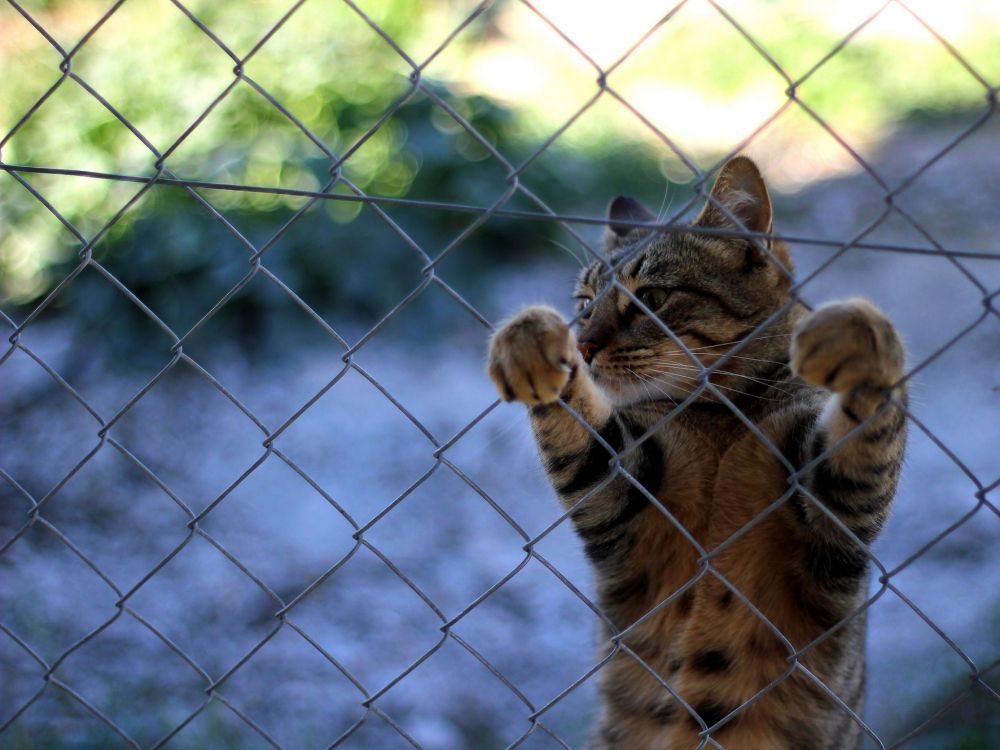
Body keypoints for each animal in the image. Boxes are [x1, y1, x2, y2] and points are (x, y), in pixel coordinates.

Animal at [484, 156, 908, 748]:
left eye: (651, 297)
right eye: (584, 304)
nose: (584, 345)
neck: (719, 417)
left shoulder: (833, 503)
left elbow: (873, 424)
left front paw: (860, 335)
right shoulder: (619, 486)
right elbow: (577, 433)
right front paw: (528, 342)